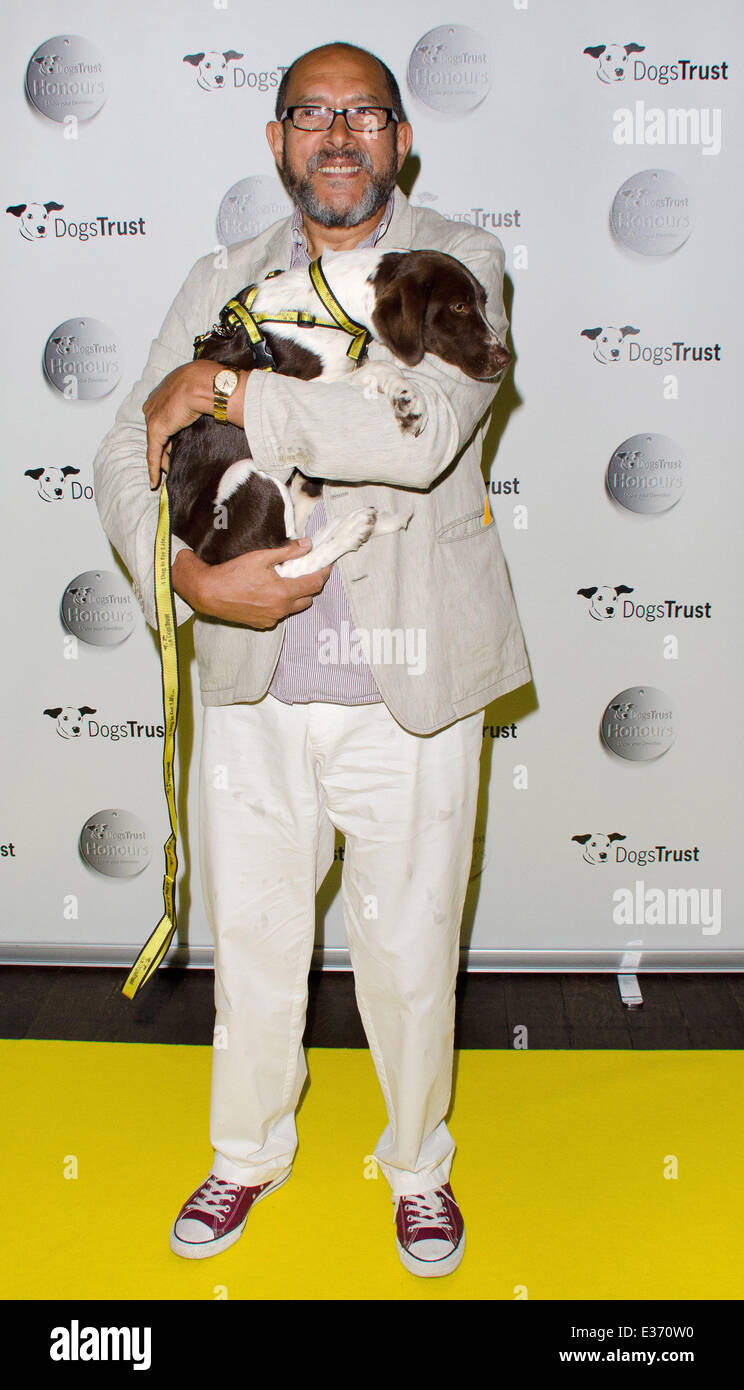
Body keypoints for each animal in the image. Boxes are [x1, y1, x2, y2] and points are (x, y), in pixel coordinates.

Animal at [165, 244, 508, 575]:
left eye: (483, 302)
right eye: (459, 307)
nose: (505, 358)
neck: (326, 306)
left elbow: (371, 367)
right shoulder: (302, 386)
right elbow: (379, 366)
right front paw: (409, 398)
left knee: (299, 541)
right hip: (246, 475)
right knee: (286, 562)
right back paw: (352, 530)